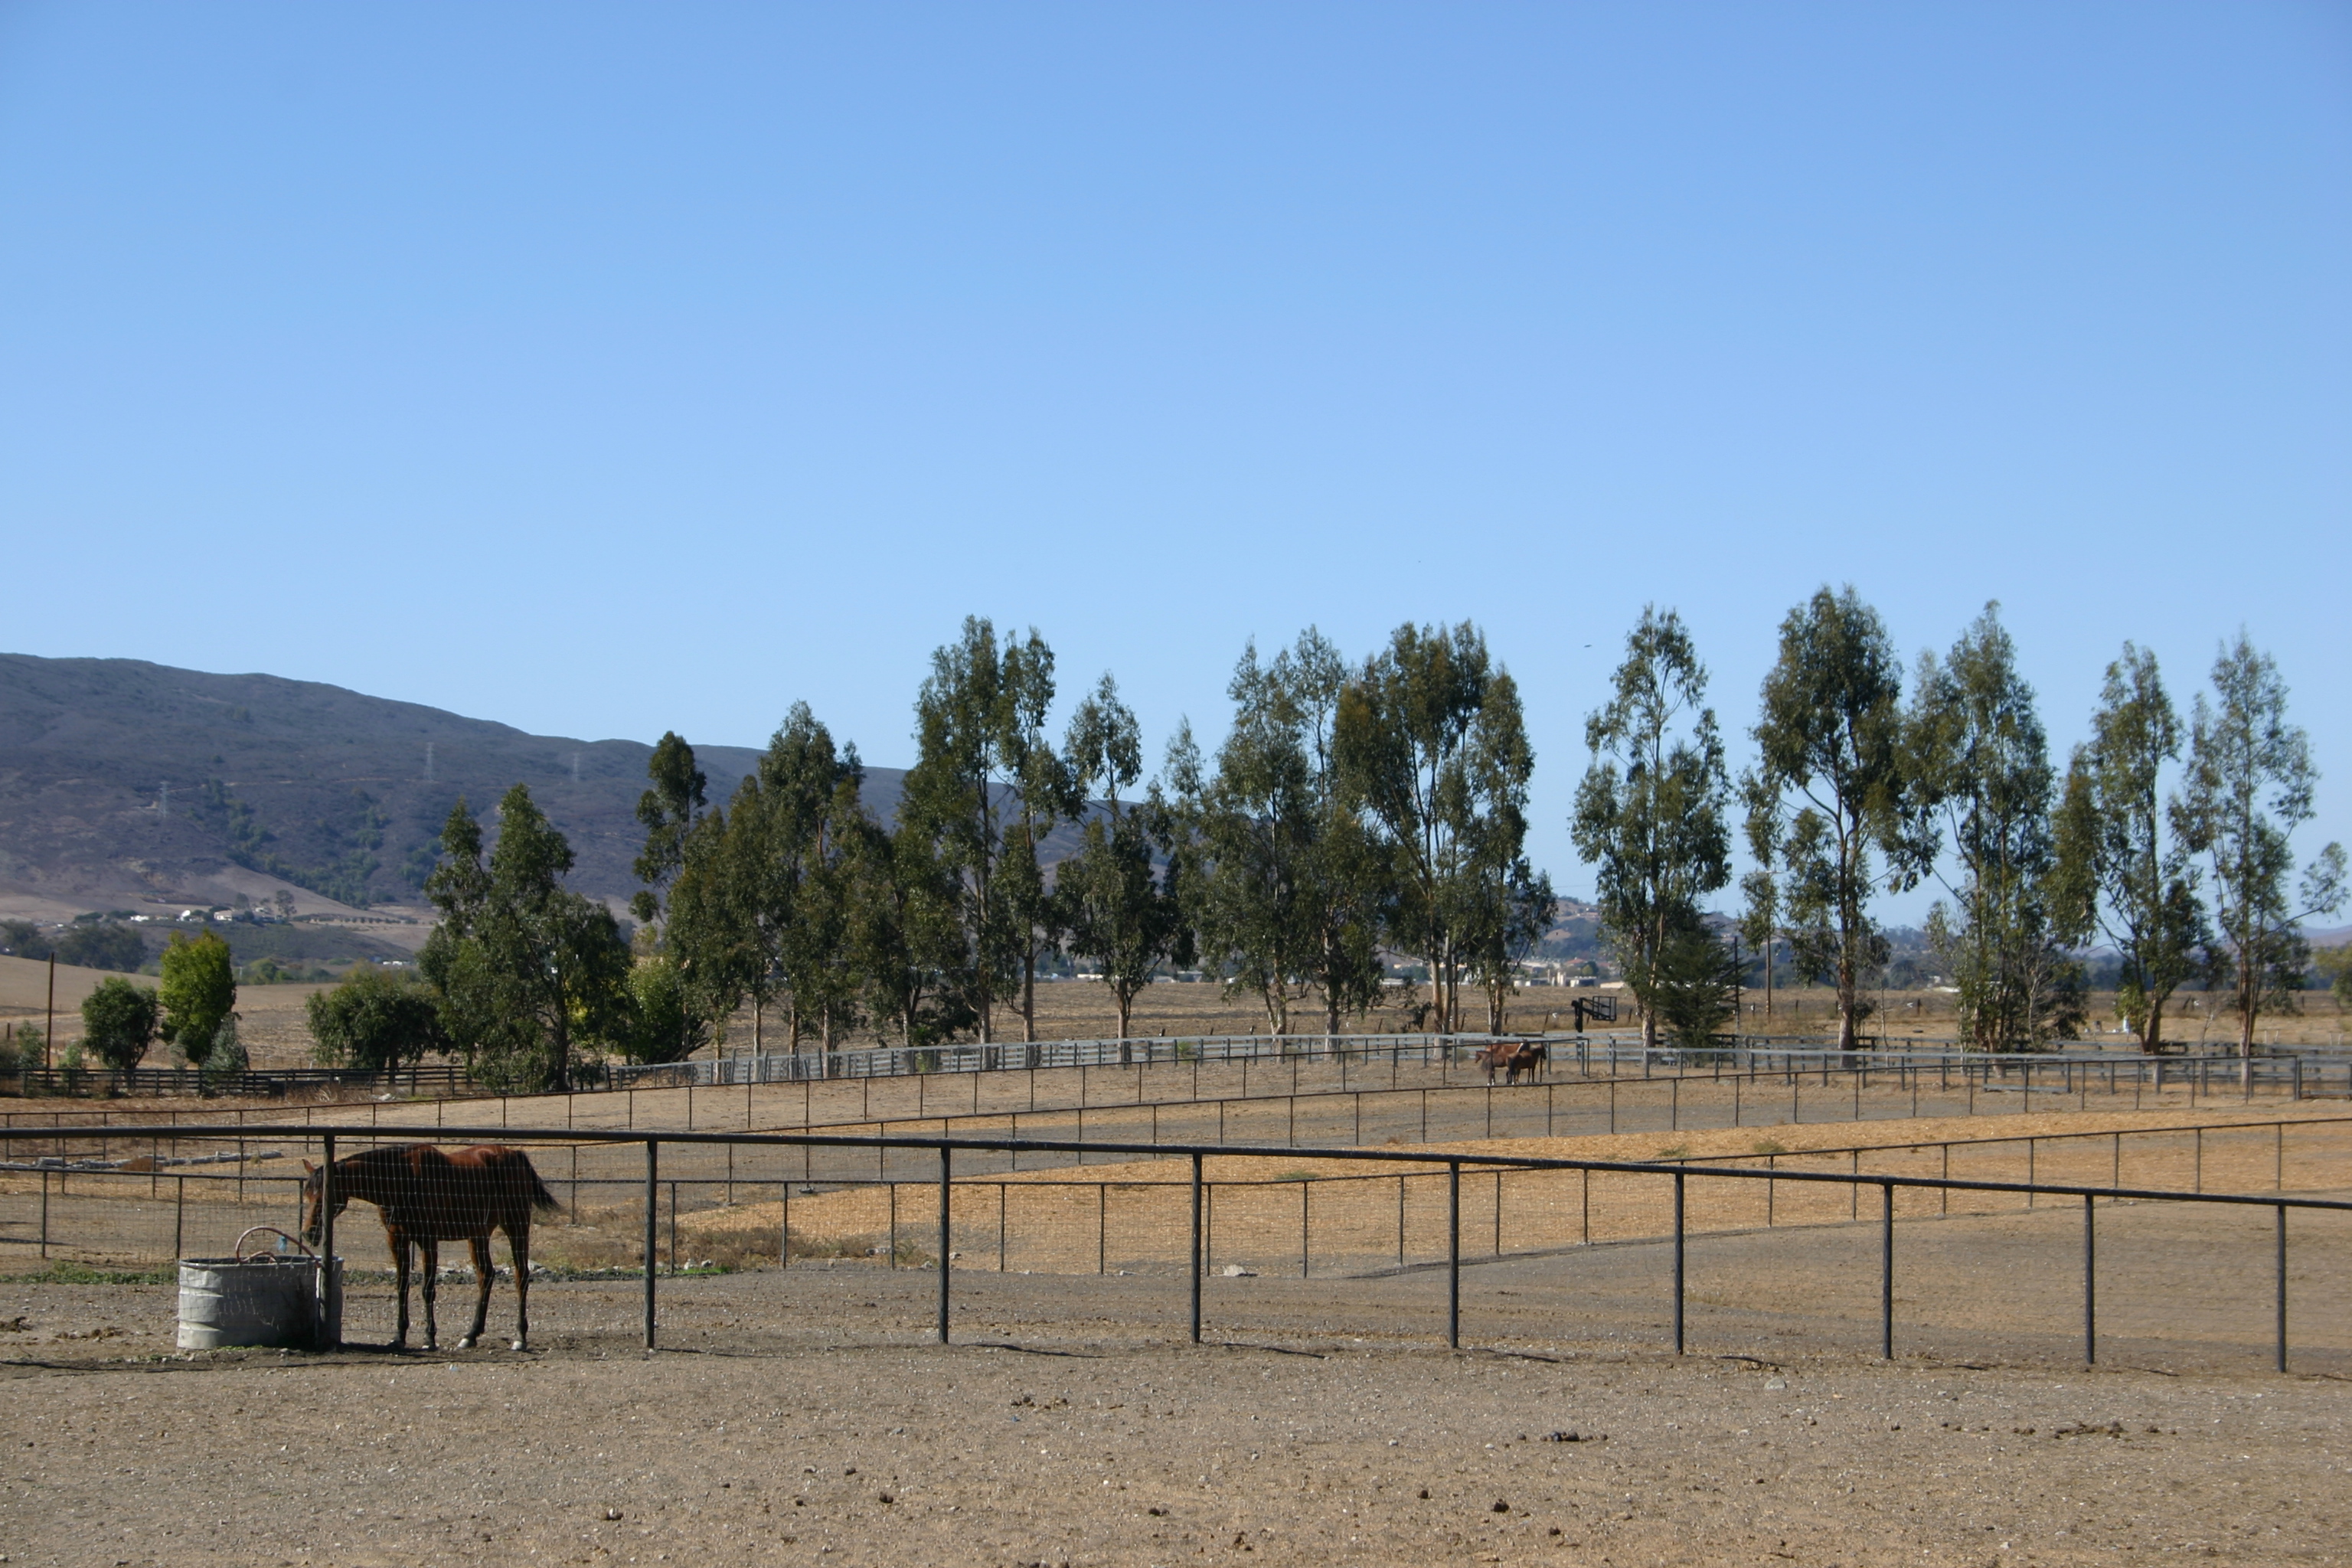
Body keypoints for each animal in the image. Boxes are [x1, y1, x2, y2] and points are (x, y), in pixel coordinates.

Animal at [301, 1147, 562, 1354]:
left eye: (325, 1195)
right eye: (307, 1195)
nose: (308, 1233)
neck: (402, 1181)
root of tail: (512, 1154)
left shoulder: (428, 1240)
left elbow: (427, 1288)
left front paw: (429, 1338)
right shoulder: (396, 1239)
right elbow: (402, 1286)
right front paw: (399, 1337)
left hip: (516, 1225)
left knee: (521, 1276)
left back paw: (520, 1337)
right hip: (478, 1234)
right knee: (486, 1275)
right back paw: (470, 1335)